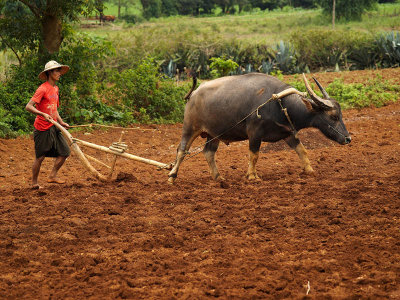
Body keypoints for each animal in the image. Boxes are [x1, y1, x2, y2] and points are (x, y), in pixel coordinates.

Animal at [167, 74, 352, 184]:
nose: (348, 138)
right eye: (334, 116)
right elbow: (254, 155)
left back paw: (219, 178)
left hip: (214, 134)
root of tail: (193, 94)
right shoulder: (254, 133)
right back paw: (172, 177)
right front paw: (252, 176)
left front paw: (310, 171)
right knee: (181, 151)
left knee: (208, 152)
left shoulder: (288, 133)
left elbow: (302, 151)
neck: (280, 103)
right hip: (190, 128)